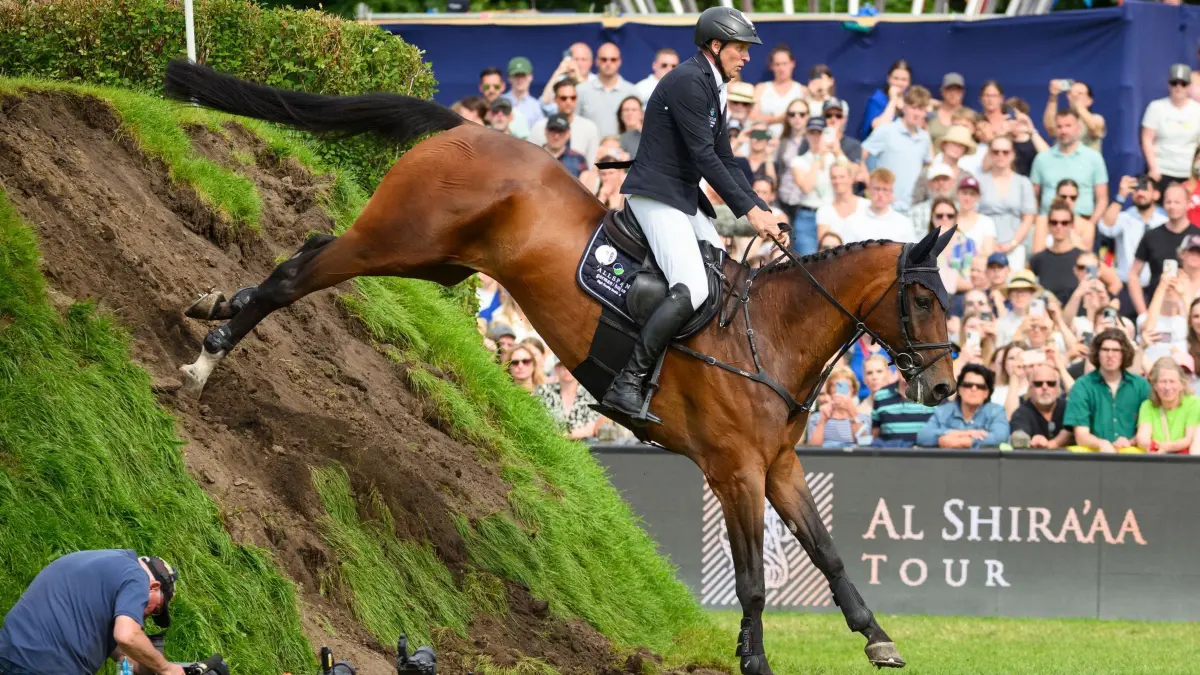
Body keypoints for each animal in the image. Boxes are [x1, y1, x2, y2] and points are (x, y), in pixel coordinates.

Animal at [161, 60, 958, 673]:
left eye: (950, 300)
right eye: (921, 298)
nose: (945, 385)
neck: (768, 333)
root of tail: (467, 128)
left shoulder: (781, 465)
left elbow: (829, 555)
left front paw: (878, 639)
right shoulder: (734, 470)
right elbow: (755, 579)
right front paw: (755, 656)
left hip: (431, 259)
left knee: (308, 252)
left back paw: (217, 306)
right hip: (398, 238)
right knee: (299, 273)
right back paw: (207, 355)